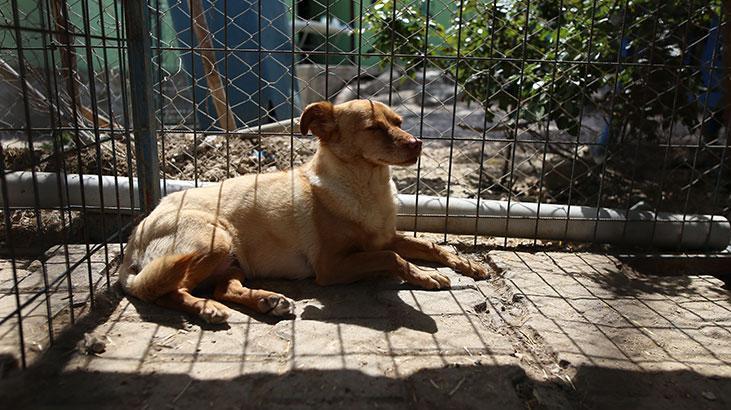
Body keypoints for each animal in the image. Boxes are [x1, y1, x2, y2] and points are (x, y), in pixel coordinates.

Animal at [117, 100, 488, 324]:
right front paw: (425, 276)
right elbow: (393, 258)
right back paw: (206, 307)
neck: (368, 188)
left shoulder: (384, 237)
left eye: (398, 122)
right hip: (213, 241)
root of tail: (136, 235)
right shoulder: (331, 265)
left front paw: (466, 264)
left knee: (223, 288)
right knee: (163, 291)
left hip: (233, 260)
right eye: (373, 127)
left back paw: (267, 301)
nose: (417, 144)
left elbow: (429, 245)